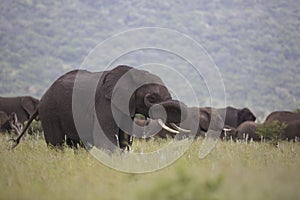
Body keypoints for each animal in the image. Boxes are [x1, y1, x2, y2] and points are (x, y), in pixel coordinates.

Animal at [13, 65, 190, 152]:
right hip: (50, 112)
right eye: (151, 98)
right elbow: (106, 139)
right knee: (57, 145)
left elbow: (124, 140)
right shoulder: (104, 104)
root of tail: (42, 99)